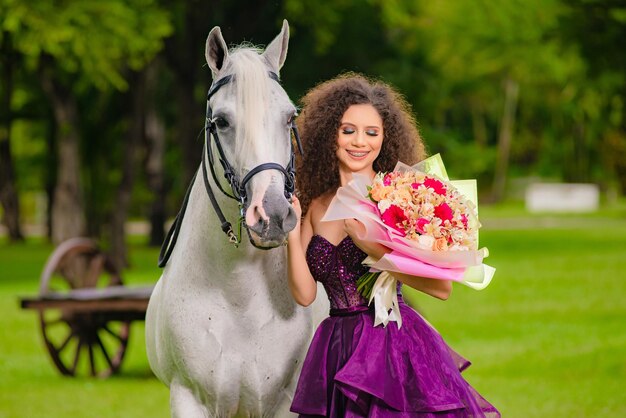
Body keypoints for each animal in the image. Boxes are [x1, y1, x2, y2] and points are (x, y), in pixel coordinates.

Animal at [147, 22, 330, 418]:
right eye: (221, 122)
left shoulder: (285, 401)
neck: (239, 297)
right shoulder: (189, 397)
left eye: (290, 117)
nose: (273, 215)